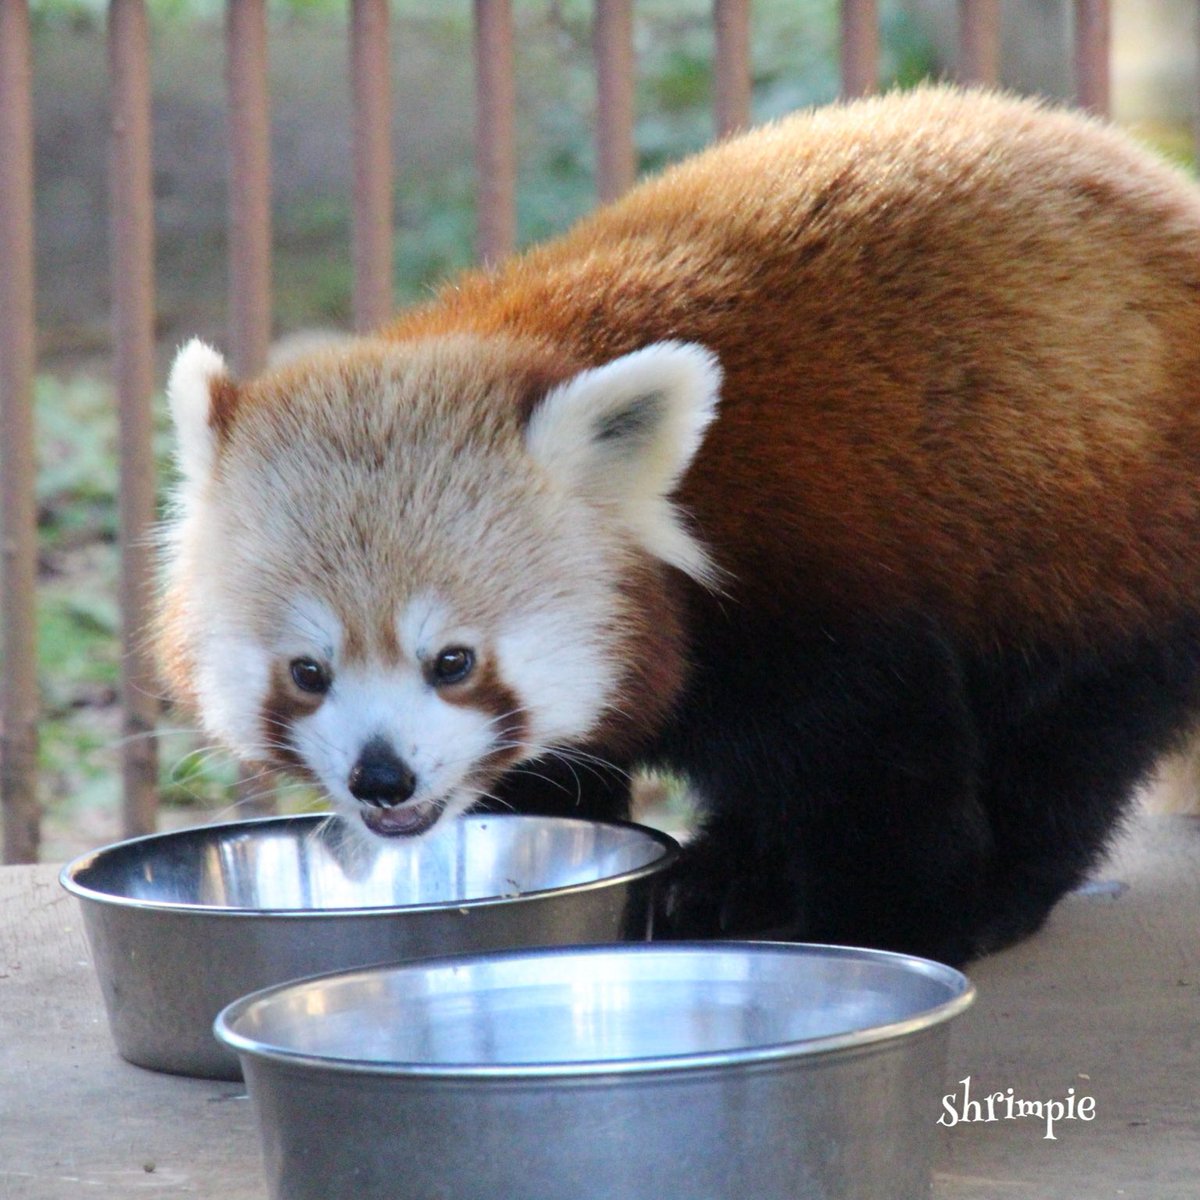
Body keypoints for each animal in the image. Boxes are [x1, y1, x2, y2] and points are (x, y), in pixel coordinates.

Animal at [157, 87, 1200, 964]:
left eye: (451, 661)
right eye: (307, 672)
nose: (384, 780)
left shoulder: (817, 589)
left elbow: (879, 771)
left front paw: (893, 930)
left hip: (1103, 543)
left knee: (1070, 736)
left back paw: (1001, 890)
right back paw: (728, 877)